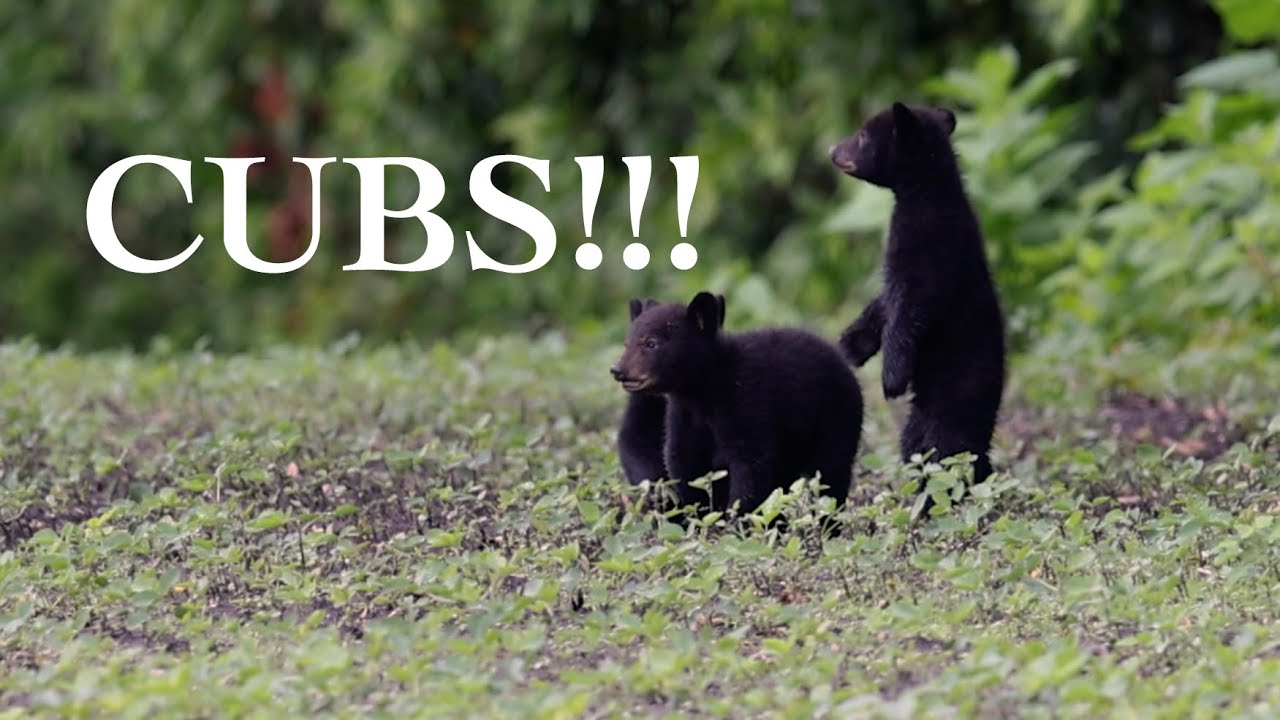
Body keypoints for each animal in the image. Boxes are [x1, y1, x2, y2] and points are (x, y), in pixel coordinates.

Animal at [609, 291, 864, 522]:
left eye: (651, 343)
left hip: (837, 420)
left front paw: (736, 522)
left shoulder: (746, 403)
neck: (704, 390)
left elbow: (750, 465)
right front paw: (692, 517)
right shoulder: (683, 414)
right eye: (626, 343)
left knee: (830, 476)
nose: (617, 370)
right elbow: (682, 462)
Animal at [828, 101, 1006, 512]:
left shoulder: (930, 249)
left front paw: (891, 379)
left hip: (954, 398)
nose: (831, 150)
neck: (926, 195)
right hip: (924, 414)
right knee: (920, 449)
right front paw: (851, 345)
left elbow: (912, 308)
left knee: (948, 451)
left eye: (863, 136)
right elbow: (884, 303)